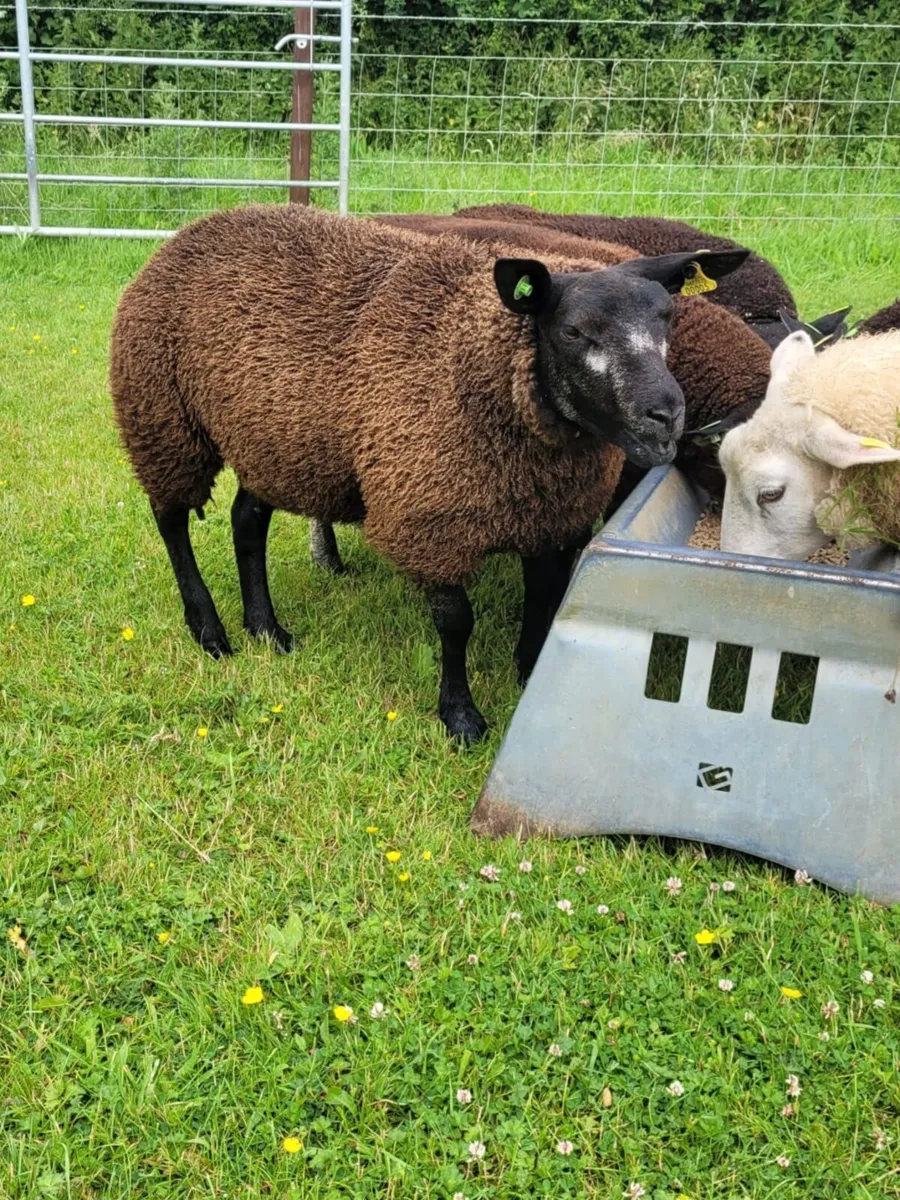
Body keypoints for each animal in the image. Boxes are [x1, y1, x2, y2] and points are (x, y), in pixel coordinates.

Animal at [110, 204, 748, 744]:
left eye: (668, 322)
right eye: (572, 331)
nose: (666, 414)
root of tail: (193, 227)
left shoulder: (552, 521)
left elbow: (543, 603)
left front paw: (529, 677)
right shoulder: (428, 516)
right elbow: (457, 623)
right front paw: (460, 717)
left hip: (273, 439)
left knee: (247, 519)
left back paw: (266, 629)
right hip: (160, 413)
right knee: (171, 520)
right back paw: (210, 631)